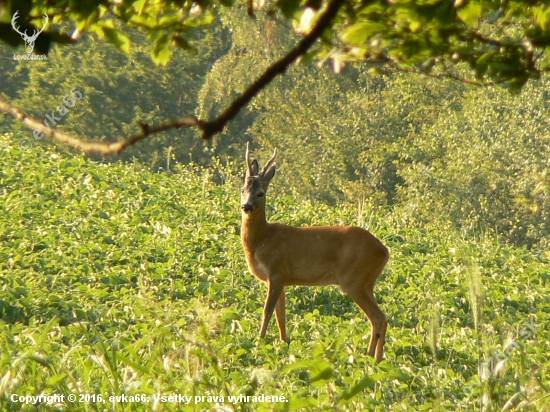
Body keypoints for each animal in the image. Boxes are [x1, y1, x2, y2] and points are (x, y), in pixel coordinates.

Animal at [239, 143, 390, 362]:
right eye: (242, 189)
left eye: (260, 193)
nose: (246, 206)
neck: (262, 239)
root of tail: (385, 251)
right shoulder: (282, 279)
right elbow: (281, 316)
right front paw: (284, 344)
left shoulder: (276, 271)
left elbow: (267, 311)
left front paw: (259, 343)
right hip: (367, 282)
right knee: (380, 318)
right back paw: (376, 359)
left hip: (354, 279)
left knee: (378, 317)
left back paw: (370, 357)